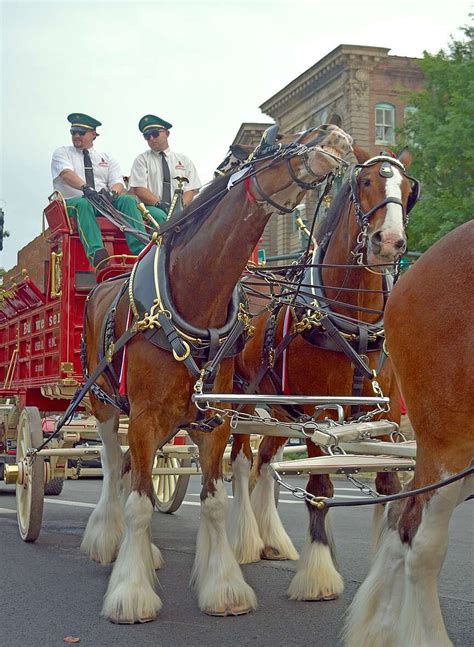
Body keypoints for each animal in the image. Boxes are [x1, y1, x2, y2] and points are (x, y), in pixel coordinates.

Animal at [78, 123, 352, 624]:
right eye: (273, 141)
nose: (335, 133)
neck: (194, 299)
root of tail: (103, 282)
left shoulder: (215, 421)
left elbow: (213, 502)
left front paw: (223, 586)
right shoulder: (143, 418)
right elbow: (139, 505)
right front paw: (131, 593)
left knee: (129, 468)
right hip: (104, 404)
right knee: (110, 466)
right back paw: (106, 539)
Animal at [230, 148, 418, 604]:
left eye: (408, 189)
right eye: (365, 182)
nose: (389, 242)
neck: (353, 322)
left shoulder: (381, 411)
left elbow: (389, 483)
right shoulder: (320, 413)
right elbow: (319, 488)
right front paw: (318, 572)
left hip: (282, 411)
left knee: (266, 461)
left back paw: (272, 541)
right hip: (241, 401)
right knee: (242, 462)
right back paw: (245, 541)